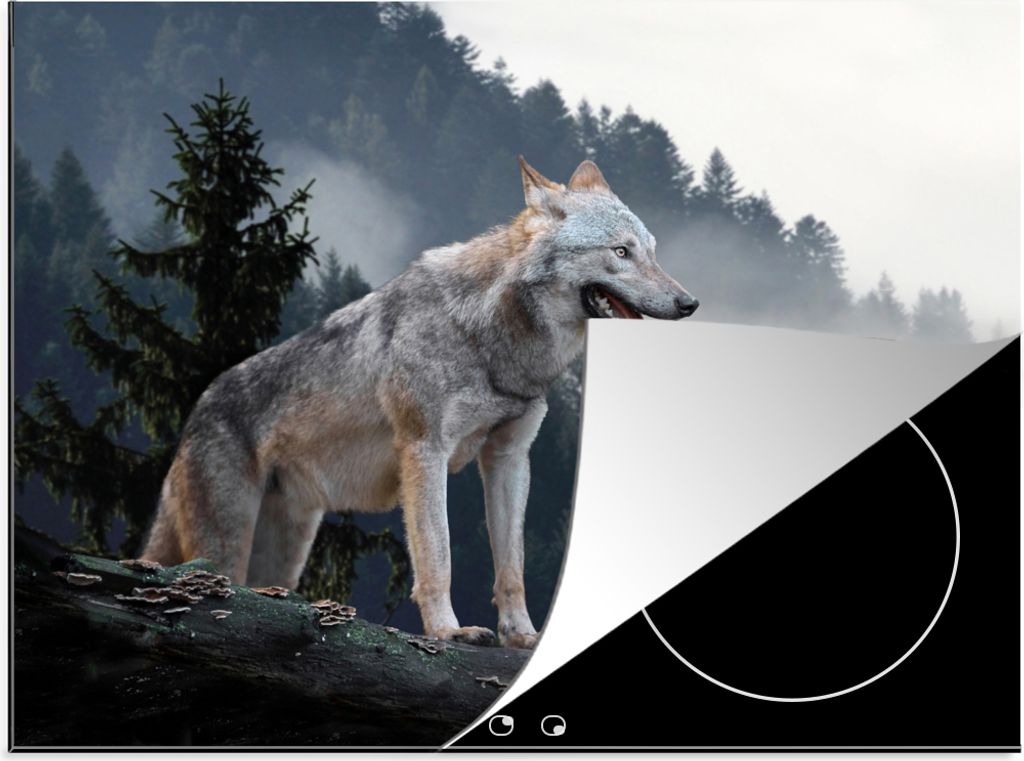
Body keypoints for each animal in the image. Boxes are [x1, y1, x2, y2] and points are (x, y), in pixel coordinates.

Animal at [142, 157, 698, 648]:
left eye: (652, 252)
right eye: (620, 252)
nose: (689, 303)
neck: (492, 338)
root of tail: (196, 411)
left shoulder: (510, 458)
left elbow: (512, 565)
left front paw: (522, 636)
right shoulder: (425, 451)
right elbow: (439, 556)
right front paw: (448, 632)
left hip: (283, 554)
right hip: (227, 546)